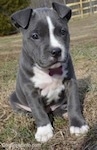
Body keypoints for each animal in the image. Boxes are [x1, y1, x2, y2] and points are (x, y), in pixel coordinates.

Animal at [9, 2, 88, 143]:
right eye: (35, 36)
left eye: (63, 32)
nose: (56, 51)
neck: (49, 70)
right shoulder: (30, 90)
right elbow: (38, 111)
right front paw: (44, 131)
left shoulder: (71, 82)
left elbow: (74, 103)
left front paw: (78, 125)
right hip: (13, 98)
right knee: (29, 112)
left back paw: (65, 112)